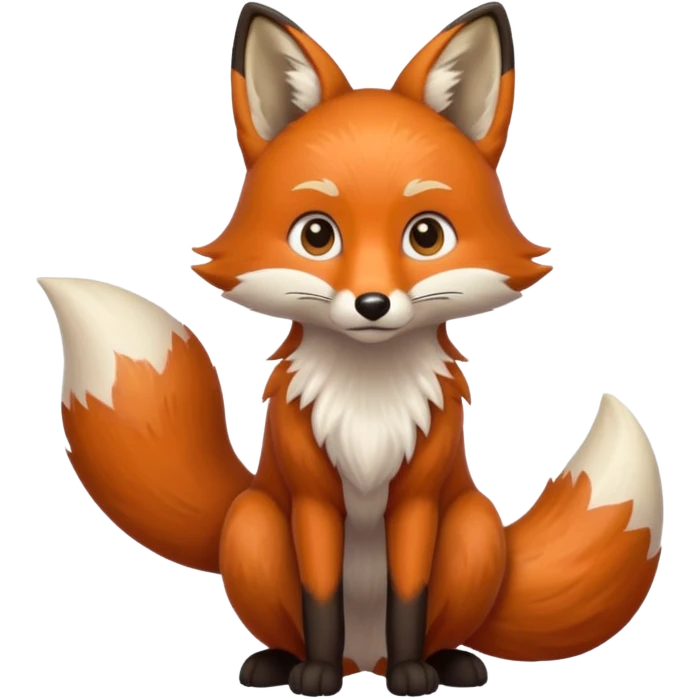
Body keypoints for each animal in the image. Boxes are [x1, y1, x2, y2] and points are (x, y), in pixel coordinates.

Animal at [36, 1, 664, 696]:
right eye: (317, 235)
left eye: (426, 236)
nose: (372, 304)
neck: (369, 401)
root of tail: (365, 661)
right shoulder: (312, 497)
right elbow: (321, 596)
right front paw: (313, 674)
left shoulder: (418, 498)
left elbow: (409, 596)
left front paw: (415, 674)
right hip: (253, 525)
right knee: (293, 622)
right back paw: (284, 664)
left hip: (473, 531)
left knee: (438, 624)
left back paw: (442, 663)